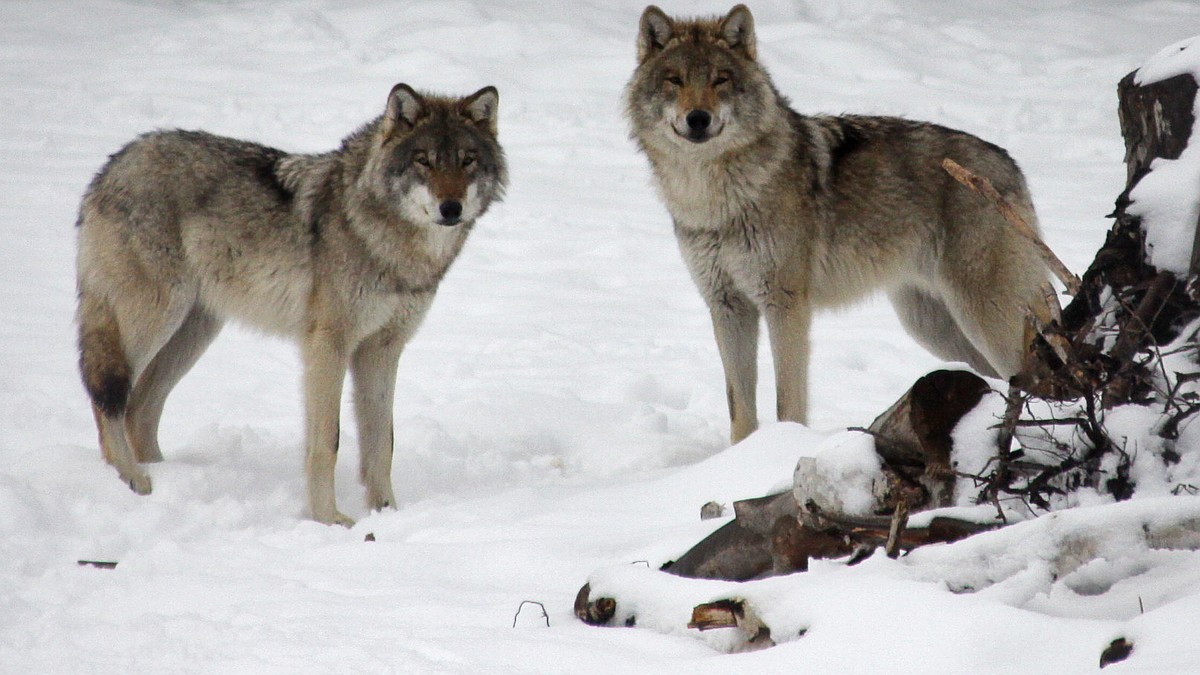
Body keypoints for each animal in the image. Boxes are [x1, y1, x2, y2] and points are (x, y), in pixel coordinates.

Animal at [75, 84, 506, 526]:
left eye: (467, 161)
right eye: (424, 161)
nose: (451, 208)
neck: (387, 243)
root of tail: (112, 165)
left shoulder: (382, 349)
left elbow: (382, 443)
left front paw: (387, 514)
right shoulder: (328, 346)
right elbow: (328, 442)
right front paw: (330, 520)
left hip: (193, 333)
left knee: (140, 407)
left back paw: (165, 477)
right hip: (156, 318)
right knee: (106, 396)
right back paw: (132, 479)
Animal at [628, 6, 1051, 446]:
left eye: (720, 79)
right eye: (675, 80)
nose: (698, 119)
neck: (714, 198)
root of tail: (1010, 164)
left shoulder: (785, 303)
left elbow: (787, 400)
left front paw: (783, 448)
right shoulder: (727, 305)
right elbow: (740, 409)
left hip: (984, 321)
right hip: (936, 329)